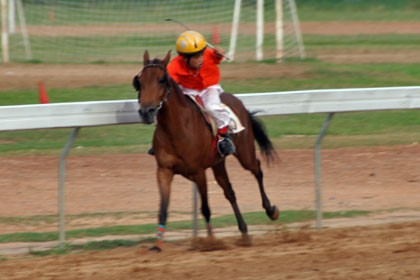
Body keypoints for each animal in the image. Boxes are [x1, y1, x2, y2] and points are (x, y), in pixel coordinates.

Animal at [133, 50, 280, 252]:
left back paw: (271, 210)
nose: (146, 112)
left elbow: (205, 208)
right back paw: (244, 232)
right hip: (218, 164)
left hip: (244, 153)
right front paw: (157, 244)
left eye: (162, 80)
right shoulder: (164, 171)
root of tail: (238, 101)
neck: (177, 128)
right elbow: (163, 209)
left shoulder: (198, 172)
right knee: (229, 191)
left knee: (257, 169)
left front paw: (211, 241)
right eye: (139, 81)